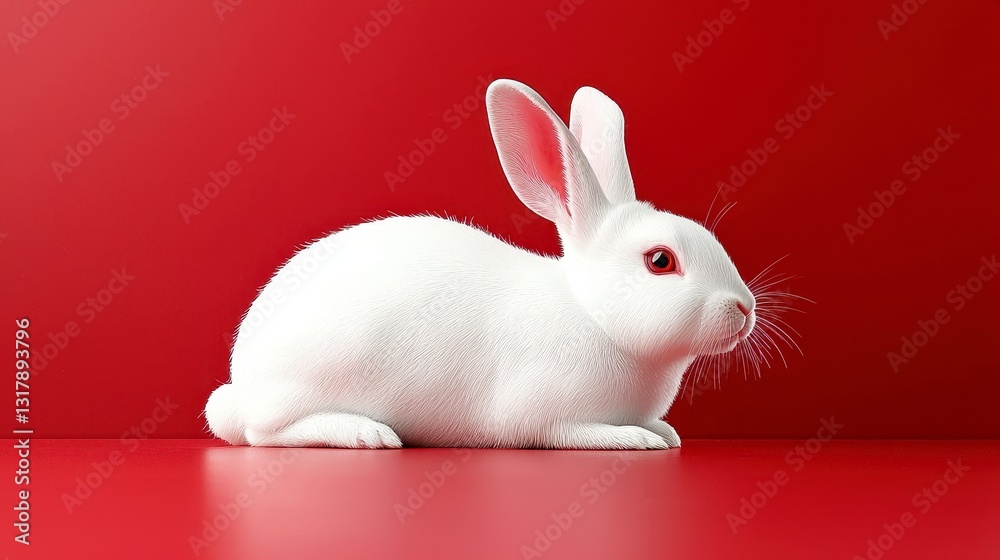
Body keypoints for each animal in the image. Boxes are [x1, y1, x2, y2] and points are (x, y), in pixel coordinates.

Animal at [204, 79, 756, 450]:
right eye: (660, 261)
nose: (745, 308)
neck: (594, 315)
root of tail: (242, 378)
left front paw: (664, 430)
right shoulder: (542, 413)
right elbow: (572, 431)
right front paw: (637, 440)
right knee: (263, 431)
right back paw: (367, 433)